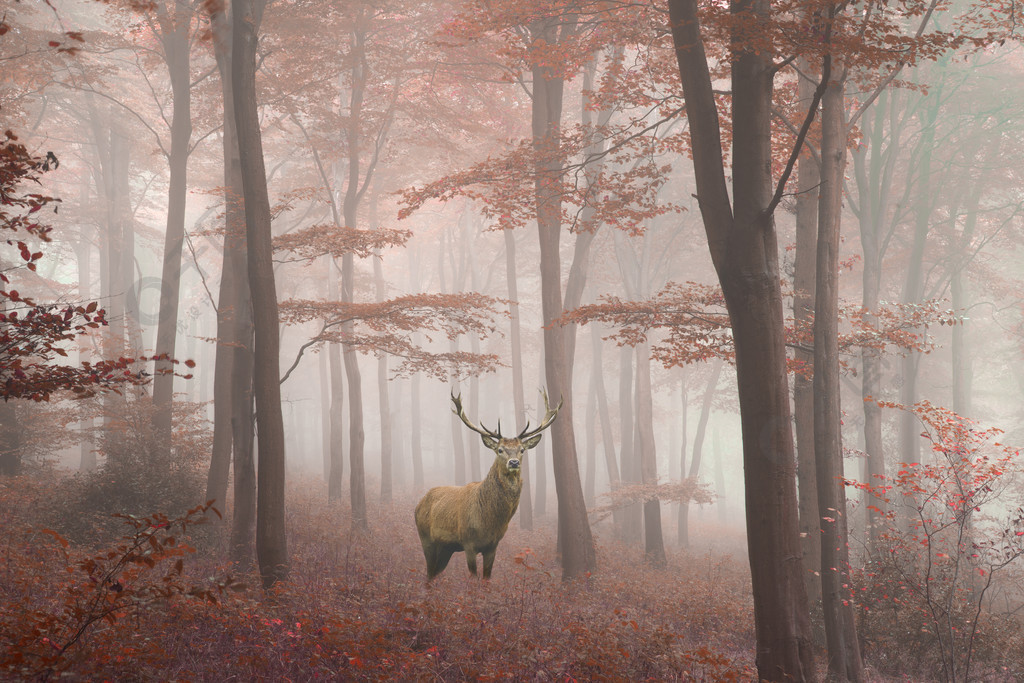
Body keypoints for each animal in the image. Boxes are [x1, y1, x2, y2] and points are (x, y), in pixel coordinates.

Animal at [413, 393, 561, 581]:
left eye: (522, 450)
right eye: (500, 449)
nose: (513, 462)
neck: (488, 521)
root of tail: (419, 504)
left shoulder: (493, 545)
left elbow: (486, 579)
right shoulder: (468, 542)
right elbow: (473, 577)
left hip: (446, 548)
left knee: (434, 573)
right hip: (425, 537)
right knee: (428, 572)